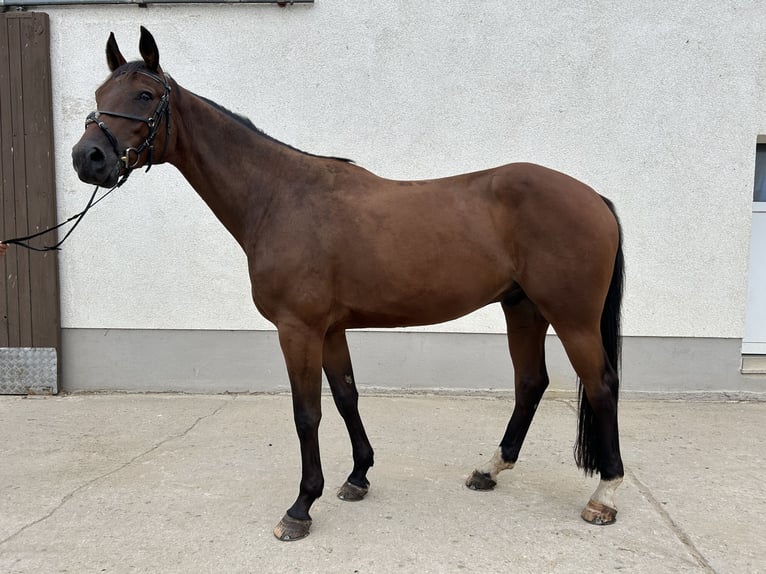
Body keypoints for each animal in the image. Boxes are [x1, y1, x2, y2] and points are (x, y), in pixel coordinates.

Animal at [69, 28, 628, 544]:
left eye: (145, 96)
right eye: (99, 94)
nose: (87, 157)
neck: (279, 197)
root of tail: (595, 197)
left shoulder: (298, 329)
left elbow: (307, 413)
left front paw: (300, 507)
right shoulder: (331, 329)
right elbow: (345, 397)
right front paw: (358, 476)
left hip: (571, 317)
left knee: (601, 385)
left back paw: (604, 495)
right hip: (523, 308)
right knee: (530, 382)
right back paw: (489, 469)